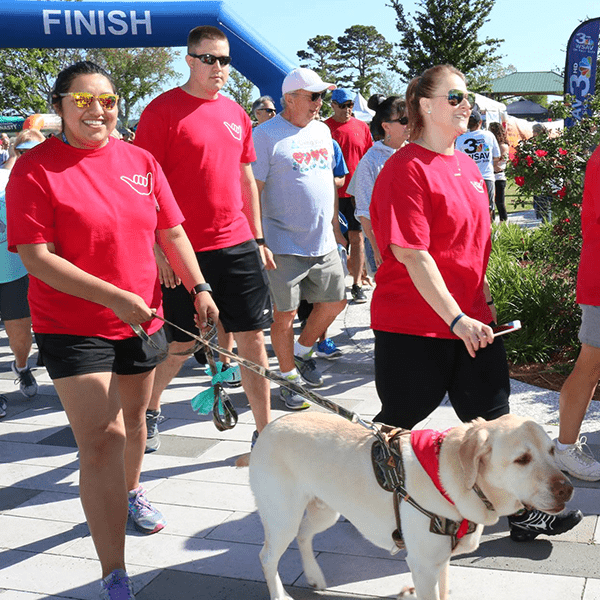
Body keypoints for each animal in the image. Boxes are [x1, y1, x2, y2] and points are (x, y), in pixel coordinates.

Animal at [248, 412, 572, 600]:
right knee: (267, 557)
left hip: (325, 510)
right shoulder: (423, 565)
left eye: (552, 450)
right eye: (522, 459)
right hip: (283, 517)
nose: (567, 490)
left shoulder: (440, 562)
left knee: (304, 535)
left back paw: (314, 575)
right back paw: (279, 594)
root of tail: (269, 426)